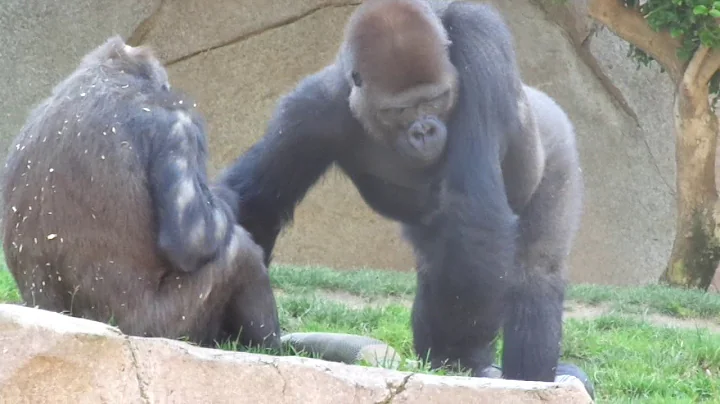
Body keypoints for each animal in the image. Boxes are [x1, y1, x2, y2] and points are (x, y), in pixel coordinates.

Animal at [1, 36, 281, 351]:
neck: (103, 75)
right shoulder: (179, 124)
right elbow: (192, 239)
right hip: (158, 329)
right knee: (239, 252)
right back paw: (269, 343)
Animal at [216, 0, 584, 382]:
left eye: (436, 100)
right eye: (400, 110)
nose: (423, 131)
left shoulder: (481, 43)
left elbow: (475, 209)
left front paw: (463, 356)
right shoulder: (312, 109)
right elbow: (261, 199)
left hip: (557, 139)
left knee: (537, 268)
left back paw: (528, 376)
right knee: (438, 262)